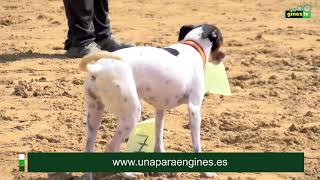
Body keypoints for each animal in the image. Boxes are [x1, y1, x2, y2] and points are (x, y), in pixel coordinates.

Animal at [80, 23, 225, 179]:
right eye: (221, 40)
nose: (224, 55)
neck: (193, 46)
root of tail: (98, 68)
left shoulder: (160, 109)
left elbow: (159, 136)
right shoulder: (194, 109)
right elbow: (197, 143)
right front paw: (206, 172)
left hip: (94, 115)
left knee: (89, 147)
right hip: (132, 115)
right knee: (112, 147)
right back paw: (128, 173)